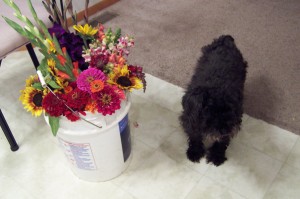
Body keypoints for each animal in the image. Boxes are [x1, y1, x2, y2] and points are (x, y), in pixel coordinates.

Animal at [179, 35, 247, 166]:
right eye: (210, 113)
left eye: (231, 111)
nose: (225, 130)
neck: (217, 87)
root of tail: (225, 40)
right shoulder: (190, 118)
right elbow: (195, 134)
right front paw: (195, 152)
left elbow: (222, 141)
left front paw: (217, 155)